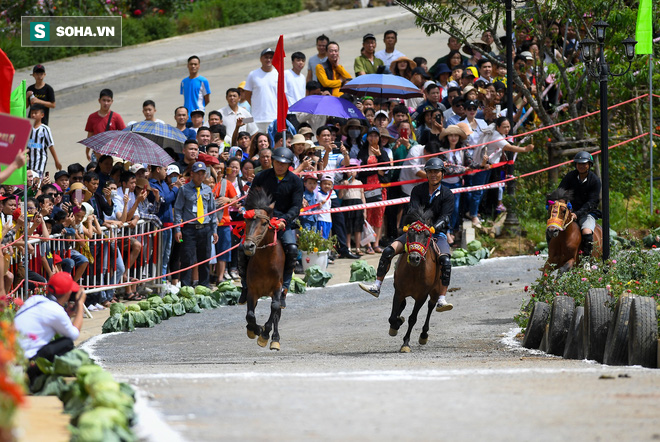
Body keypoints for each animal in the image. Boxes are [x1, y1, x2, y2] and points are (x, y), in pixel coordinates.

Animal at [241, 188, 284, 350]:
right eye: (246, 221)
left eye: (265, 223)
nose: (248, 246)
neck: (266, 262)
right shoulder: (252, 290)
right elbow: (250, 315)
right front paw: (255, 329)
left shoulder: (277, 287)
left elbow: (275, 308)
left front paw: (264, 334)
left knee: (277, 311)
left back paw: (275, 339)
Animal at [386, 209, 444, 354]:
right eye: (409, 233)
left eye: (427, 235)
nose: (414, 258)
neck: (414, 272)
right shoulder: (399, 292)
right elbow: (393, 316)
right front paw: (396, 324)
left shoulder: (421, 296)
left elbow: (412, 318)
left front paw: (406, 343)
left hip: (435, 290)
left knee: (431, 306)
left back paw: (424, 335)